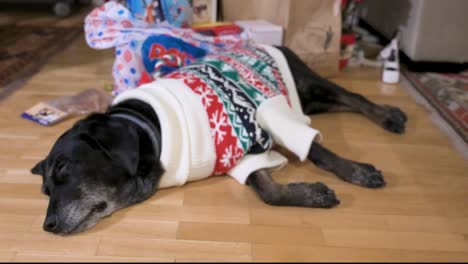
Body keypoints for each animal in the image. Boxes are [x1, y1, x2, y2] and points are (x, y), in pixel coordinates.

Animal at [32, 47, 406, 235]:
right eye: (46, 192)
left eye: (64, 169)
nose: (47, 226)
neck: (150, 129)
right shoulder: (239, 152)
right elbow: (268, 192)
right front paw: (311, 194)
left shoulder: (267, 115)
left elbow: (318, 152)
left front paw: (358, 172)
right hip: (309, 99)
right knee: (341, 102)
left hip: (303, 81)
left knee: (354, 96)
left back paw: (389, 116)